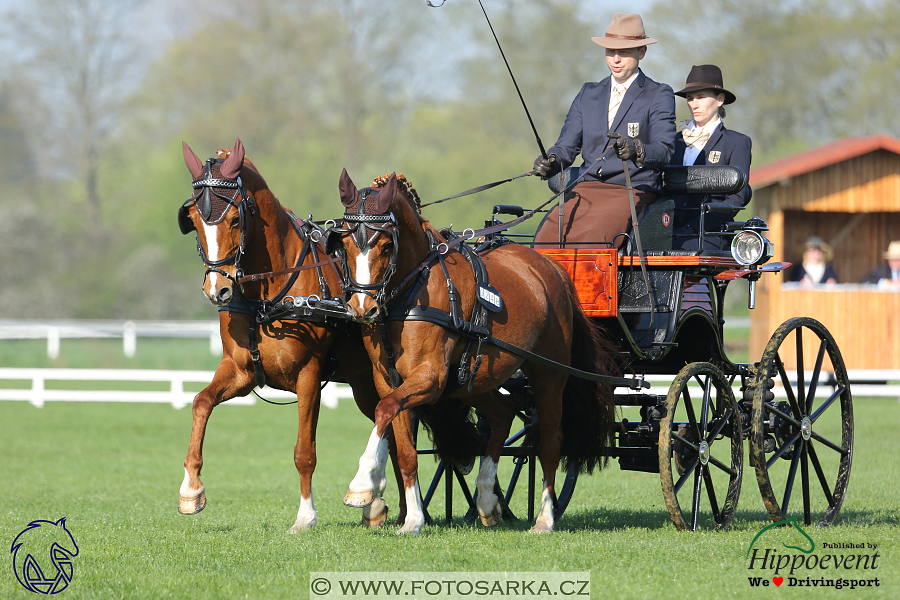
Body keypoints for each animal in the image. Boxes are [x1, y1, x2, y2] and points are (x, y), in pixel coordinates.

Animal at [175, 142, 414, 536]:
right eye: (193, 219)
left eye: (236, 219)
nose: (217, 289)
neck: (268, 293)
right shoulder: (240, 371)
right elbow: (200, 403)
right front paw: (191, 490)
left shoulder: (308, 376)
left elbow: (304, 452)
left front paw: (305, 516)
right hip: (365, 384)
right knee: (392, 430)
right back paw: (380, 503)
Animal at [330, 170, 620, 536]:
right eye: (344, 245)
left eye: (385, 245)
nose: (362, 309)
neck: (409, 295)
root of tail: (551, 268)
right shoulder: (390, 382)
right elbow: (404, 448)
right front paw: (412, 519)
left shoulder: (430, 379)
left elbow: (384, 413)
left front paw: (362, 485)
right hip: (472, 381)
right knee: (503, 413)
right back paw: (485, 498)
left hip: (548, 377)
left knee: (550, 442)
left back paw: (544, 518)